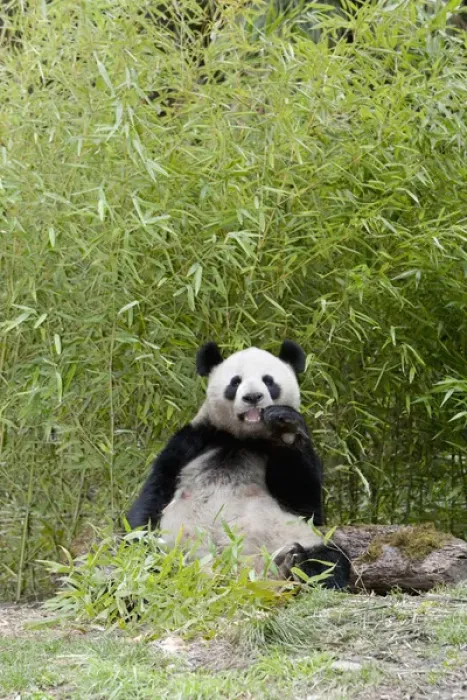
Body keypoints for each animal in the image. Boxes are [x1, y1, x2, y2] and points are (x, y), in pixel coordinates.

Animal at [127, 340, 350, 589]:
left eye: (268, 380)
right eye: (235, 382)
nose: (252, 397)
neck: (243, 439)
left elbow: (307, 503)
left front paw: (285, 424)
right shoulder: (193, 441)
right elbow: (155, 492)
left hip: (290, 536)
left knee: (328, 559)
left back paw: (293, 561)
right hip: (176, 546)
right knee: (155, 558)